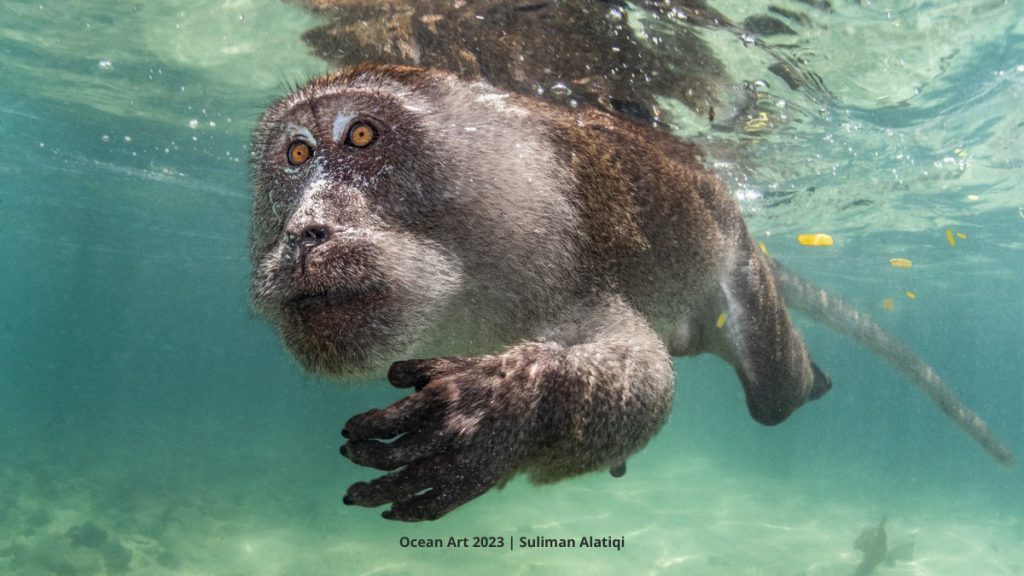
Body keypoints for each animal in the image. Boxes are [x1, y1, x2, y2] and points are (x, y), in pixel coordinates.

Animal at [249, 64, 1014, 522]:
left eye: (362, 135)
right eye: (297, 155)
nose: (303, 232)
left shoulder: (566, 258)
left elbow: (643, 376)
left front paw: (500, 413)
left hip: (740, 265)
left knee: (770, 393)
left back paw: (799, 377)